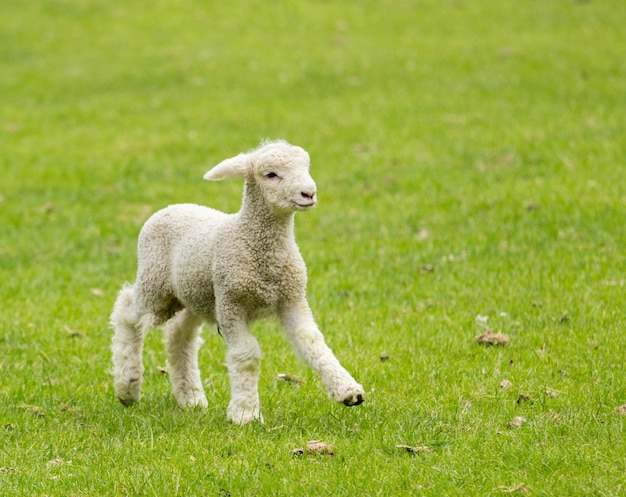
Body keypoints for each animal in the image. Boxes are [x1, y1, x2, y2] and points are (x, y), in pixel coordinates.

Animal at [109, 139, 364, 422]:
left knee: (179, 335)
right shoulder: (231, 304)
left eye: (306, 166)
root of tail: (170, 207)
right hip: (156, 285)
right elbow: (247, 354)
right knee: (127, 313)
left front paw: (347, 391)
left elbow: (313, 342)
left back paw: (191, 397)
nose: (308, 193)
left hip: (196, 295)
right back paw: (127, 386)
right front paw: (246, 413)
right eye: (271, 174)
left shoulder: (292, 298)